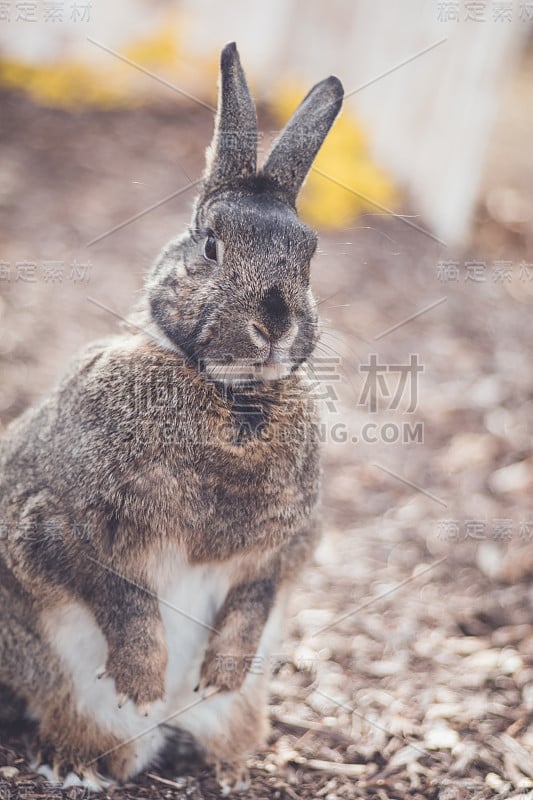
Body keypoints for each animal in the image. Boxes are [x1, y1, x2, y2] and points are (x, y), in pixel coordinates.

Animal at [0, 40, 342, 792]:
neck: (230, 394)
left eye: (309, 257)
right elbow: (122, 598)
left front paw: (220, 672)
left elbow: (252, 601)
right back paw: (83, 762)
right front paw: (142, 680)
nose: (274, 323)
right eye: (210, 245)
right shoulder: (59, 523)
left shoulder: (283, 550)